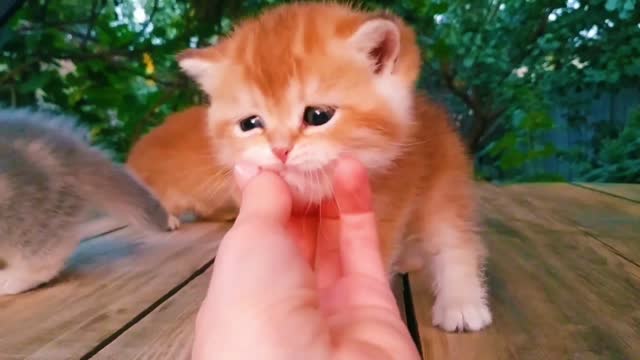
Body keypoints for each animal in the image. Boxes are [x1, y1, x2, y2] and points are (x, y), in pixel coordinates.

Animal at [178, 2, 488, 332]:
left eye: (318, 116)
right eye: (250, 124)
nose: (280, 150)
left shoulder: (392, 200)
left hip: (445, 179)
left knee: (452, 235)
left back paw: (462, 303)